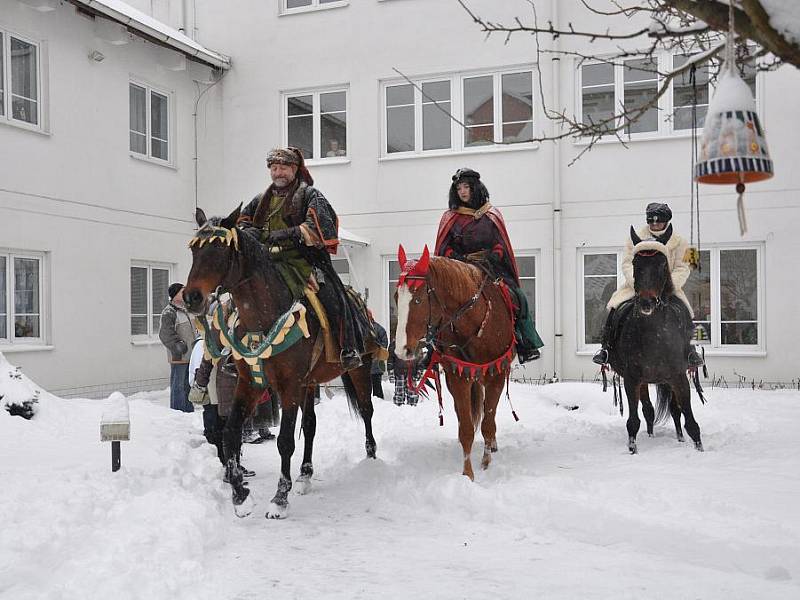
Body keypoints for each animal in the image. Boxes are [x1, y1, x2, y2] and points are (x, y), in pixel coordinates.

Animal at [184, 205, 378, 516]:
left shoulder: (289, 386)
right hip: (310, 383)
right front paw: (240, 495)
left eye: (220, 249)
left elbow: (285, 441)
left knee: (366, 409)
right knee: (310, 424)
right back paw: (305, 475)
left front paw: (279, 498)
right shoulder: (251, 383)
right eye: (194, 249)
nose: (191, 298)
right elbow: (230, 433)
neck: (263, 315)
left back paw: (370, 458)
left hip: (359, 368)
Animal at [396, 244, 520, 478]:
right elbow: (466, 429)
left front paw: (485, 463)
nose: (401, 350)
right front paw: (468, 475)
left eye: (418, 299)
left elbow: (488, 423)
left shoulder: (496, 375)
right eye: (395, 298)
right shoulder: (458, 377)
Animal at [608, 227, 704, 452]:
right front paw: (633, 449)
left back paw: (679, 438)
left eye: (662, 264)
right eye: (636, 264)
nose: (646, 302)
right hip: (644, 381)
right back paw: (651, 436)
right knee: (648, 410)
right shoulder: (632, 379)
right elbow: (633, 420)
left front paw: (699, 448)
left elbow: (690, 420)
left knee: (675, 411)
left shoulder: (678, 377)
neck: (653, 334)